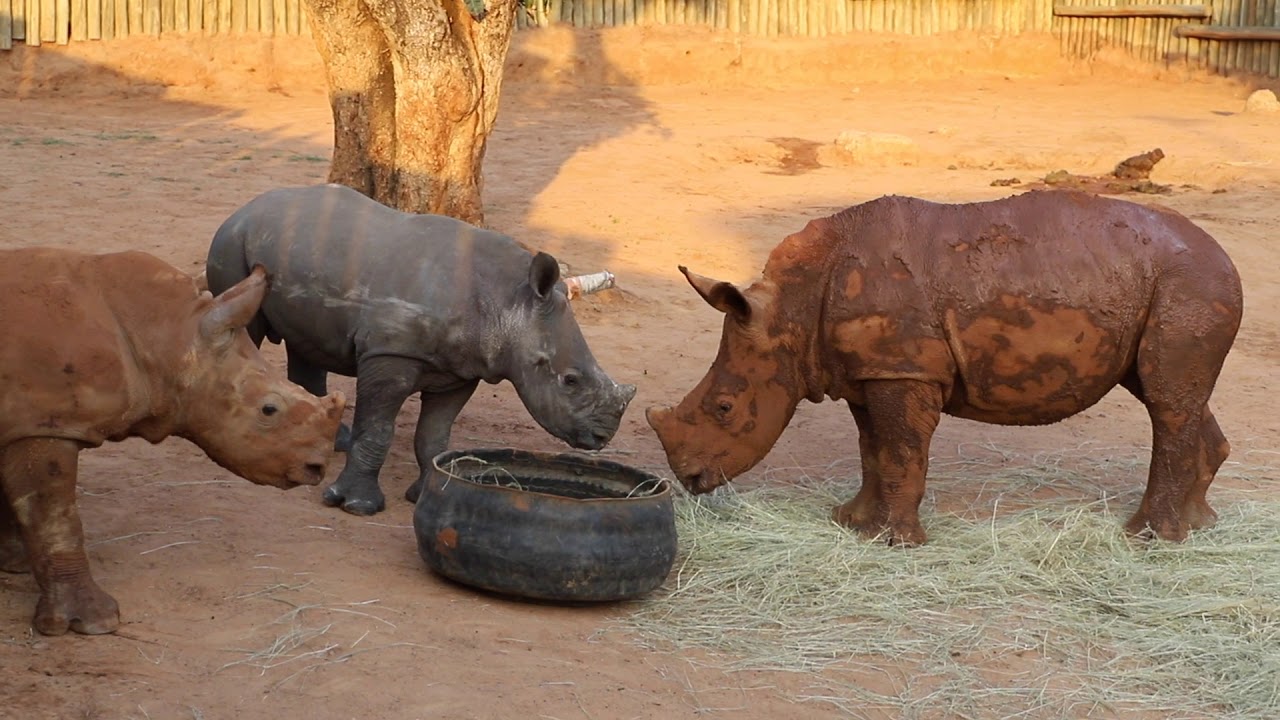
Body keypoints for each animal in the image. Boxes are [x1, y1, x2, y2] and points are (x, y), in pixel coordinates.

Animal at [0, 248, 346, 636]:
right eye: (268, 410)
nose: (316, 467)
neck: (168, 333)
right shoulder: (48, 424)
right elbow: (56, 519)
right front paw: (94, 623)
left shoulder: (22, 420)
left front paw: (13, 561)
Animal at [205, 184, 637, 517]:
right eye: (569, 380)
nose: (602, 436)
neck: (508, 300)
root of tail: (245, 207)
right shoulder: (390, 353)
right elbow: (378, 430)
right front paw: (356, 506)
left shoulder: (462, 369)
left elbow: (433, 436)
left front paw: (427, 493)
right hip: (232, 244)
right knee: (245, 330)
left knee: (306, 345)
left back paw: (330, 441)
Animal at [647, 189, 1243, 546]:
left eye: (725, 407)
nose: (689, 479)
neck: (790, 309)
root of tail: (1224, 254)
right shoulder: (873, 370)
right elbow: (873, 450)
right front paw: (853, 523)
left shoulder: (905, 369)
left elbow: (901, 450)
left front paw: (895, 543)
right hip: (1177, 285)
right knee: (1171, 394)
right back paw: (1199, 526)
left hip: (1189, 284)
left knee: (1166, 401)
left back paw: (1146, 538)